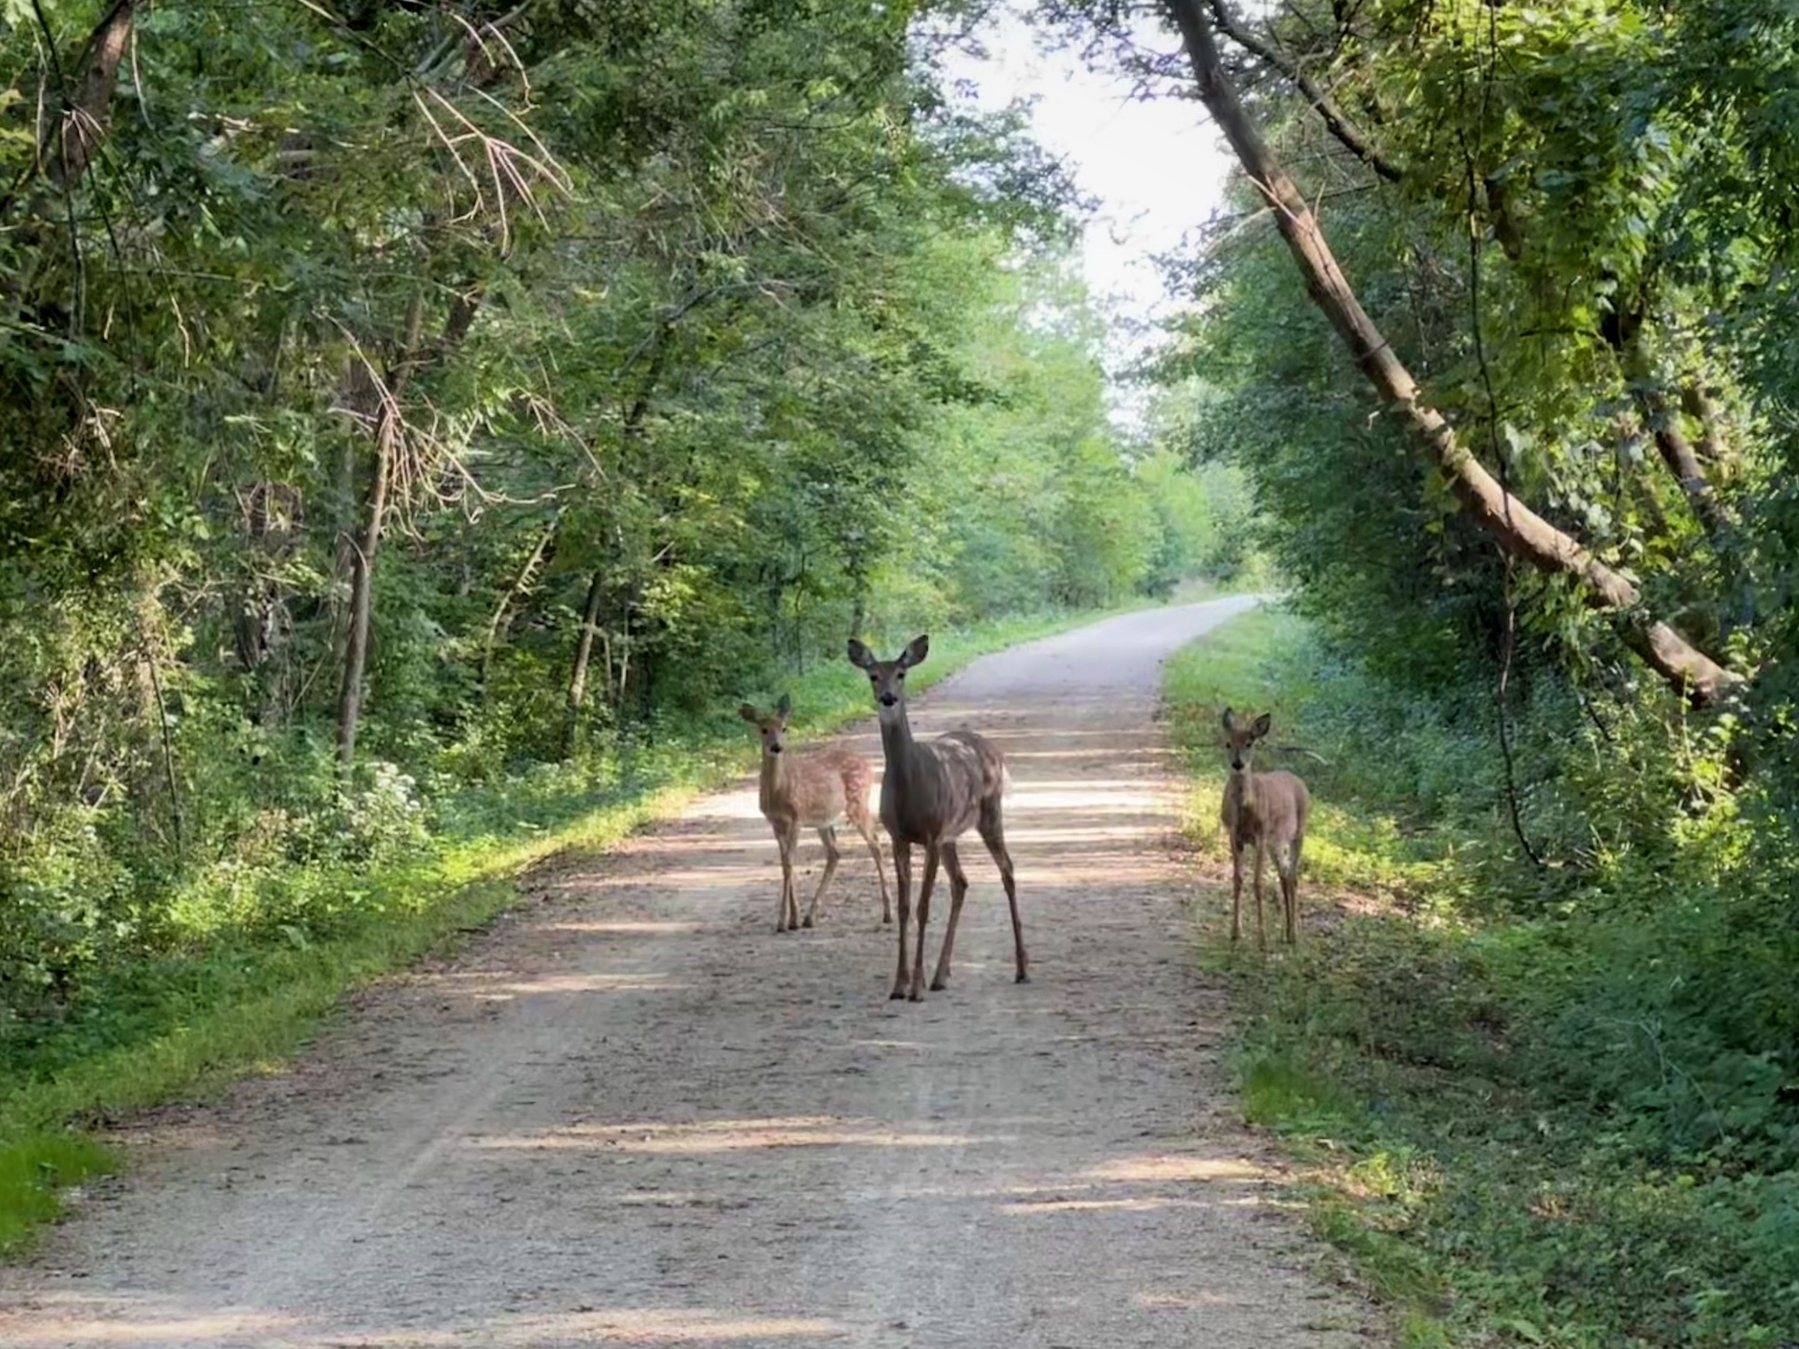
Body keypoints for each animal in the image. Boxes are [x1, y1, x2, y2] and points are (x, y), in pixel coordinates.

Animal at [737, 690, 892, 935]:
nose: (776, 747)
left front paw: (784, 921)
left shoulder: (796, 818)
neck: (779, 792)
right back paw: (811, 917)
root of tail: (868, 765)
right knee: (835, 853)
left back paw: (888, 914)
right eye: (763, 729)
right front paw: (793, 918)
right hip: (824, 820)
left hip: (858, 802)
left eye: (784, 728)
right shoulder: (775, 822)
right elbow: (786, 863)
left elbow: (789, 863)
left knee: (875, 843)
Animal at [845, 636, 1029, 1007]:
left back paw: (1022, 969)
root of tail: (993, 750)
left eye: (901, 673)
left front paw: (914, 986)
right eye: (873, 675)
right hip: (951, 835)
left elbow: (923, 906)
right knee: (961, 882)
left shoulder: (930, 834)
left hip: (989, 814)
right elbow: (904, 907)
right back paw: (941, 975)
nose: (888, 697)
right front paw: (899, 984)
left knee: (1008, 869)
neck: (910, 783)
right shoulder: (899, 836)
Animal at [1216, 708, 1316, 949]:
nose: (1238, 764)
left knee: (1293, 876)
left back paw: (1294, 934)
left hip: (1299, 831)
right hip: (1276, 842)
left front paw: (1262, 939)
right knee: (1284, 873)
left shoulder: (1260, 836)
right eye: (1227, 743)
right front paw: (1235, 932)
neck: (1246, 810)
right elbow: (1238, 880)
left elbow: (1258, 883)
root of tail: (1299, 780)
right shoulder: (1235, 836)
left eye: (1250, 743)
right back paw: (1284, 932)